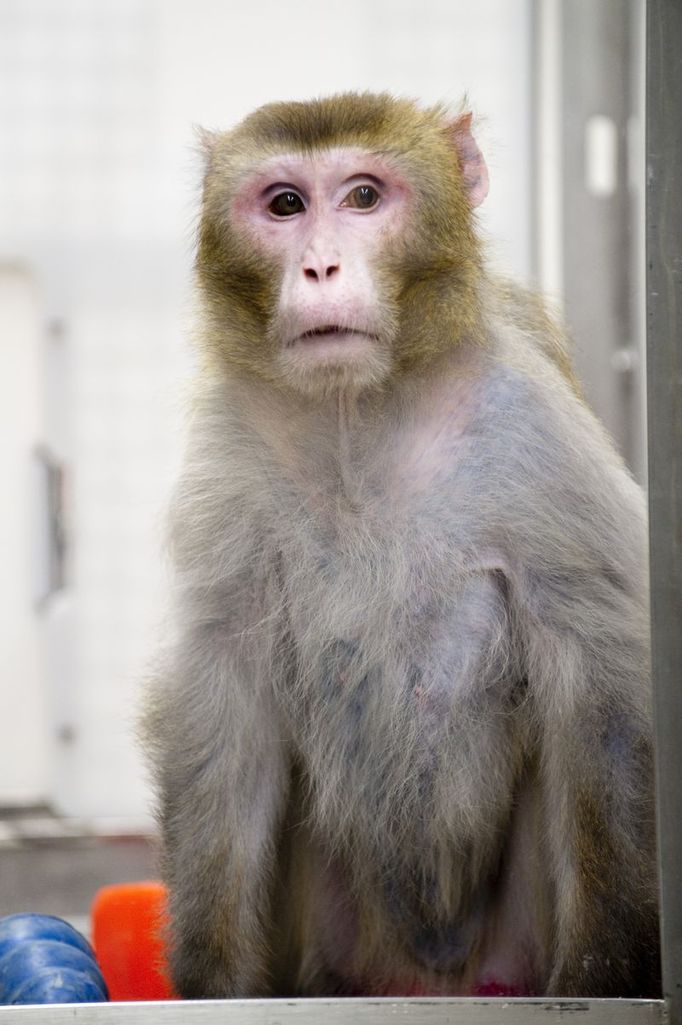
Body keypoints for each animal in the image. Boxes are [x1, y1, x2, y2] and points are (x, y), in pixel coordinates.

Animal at [143, 94, 660, 992]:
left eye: (363, 197)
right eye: (286, 205)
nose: (320, 269)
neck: (359, 411)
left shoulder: (532, 423)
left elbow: (602, 690)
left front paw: (604, 975)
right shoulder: (230, 443)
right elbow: (222, 701)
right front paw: (213, 982)